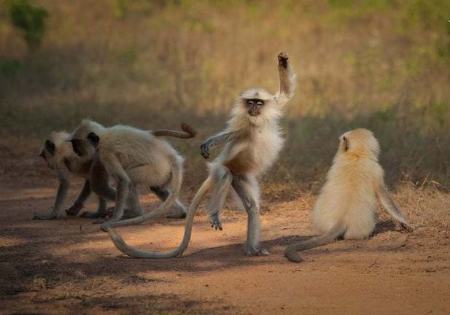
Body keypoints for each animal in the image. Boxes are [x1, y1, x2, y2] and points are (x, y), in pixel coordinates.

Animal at [103, 52, 298, 260]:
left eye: (258, 103)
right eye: (250, 102)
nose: (253, 108)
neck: (256, 121)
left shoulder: (267, 109)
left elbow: (285, 94)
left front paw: (283, 61)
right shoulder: (243, 126)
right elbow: (230, 134)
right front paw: (209, 143)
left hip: (241, 177)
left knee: (252, 208)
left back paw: (252, 249)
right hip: (224, 169)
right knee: (224, 175)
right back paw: (215, 214)